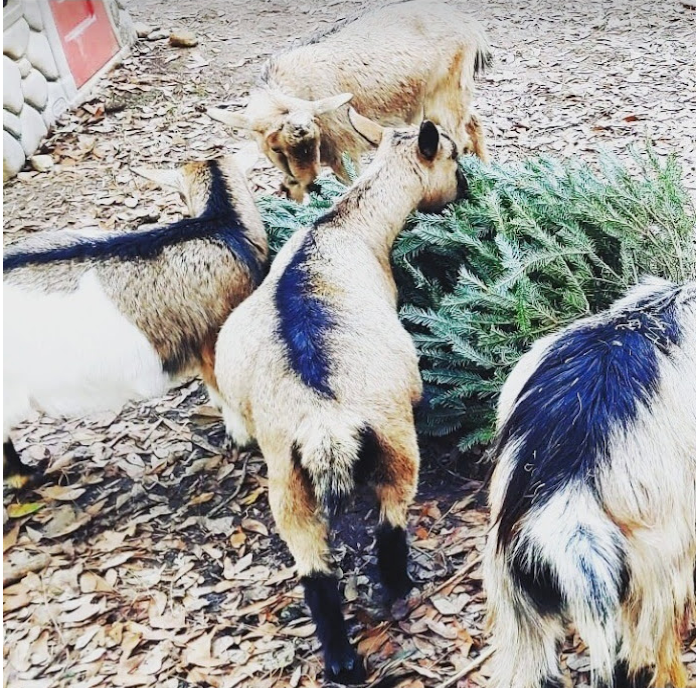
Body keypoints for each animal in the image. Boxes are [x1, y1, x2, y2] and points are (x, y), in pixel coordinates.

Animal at [209, 0, 490, 202]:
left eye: (314, 140)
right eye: (276, 148)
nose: (314, 184)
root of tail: (470, 26)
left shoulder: (344, 148)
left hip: (447, 95)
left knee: (460, 138)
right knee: (474, 123)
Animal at [214, 108, 468, 683]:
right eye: (452, 157)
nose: (466, 192)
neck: (342, 228)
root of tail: (326, 425)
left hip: (287, 482)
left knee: (314, 569)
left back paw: (341, 659)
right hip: (397, 445)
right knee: (390, 524)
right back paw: (399, 588)